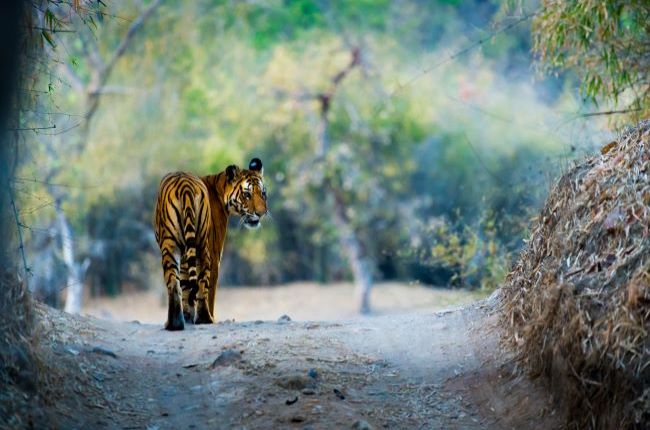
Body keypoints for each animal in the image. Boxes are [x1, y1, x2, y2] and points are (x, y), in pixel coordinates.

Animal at [152, 157, 266, 330]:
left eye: (263, 193)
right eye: (247, 194)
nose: (262, 213)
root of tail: (185, 186)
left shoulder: (184, 258)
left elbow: (185, 287)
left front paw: (188, 317)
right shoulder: (215, 252)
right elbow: (209, 289)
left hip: (170, 246)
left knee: (173, 282)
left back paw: (174, 324)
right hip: (203, 248)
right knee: (202, 283)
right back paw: (206, 318)